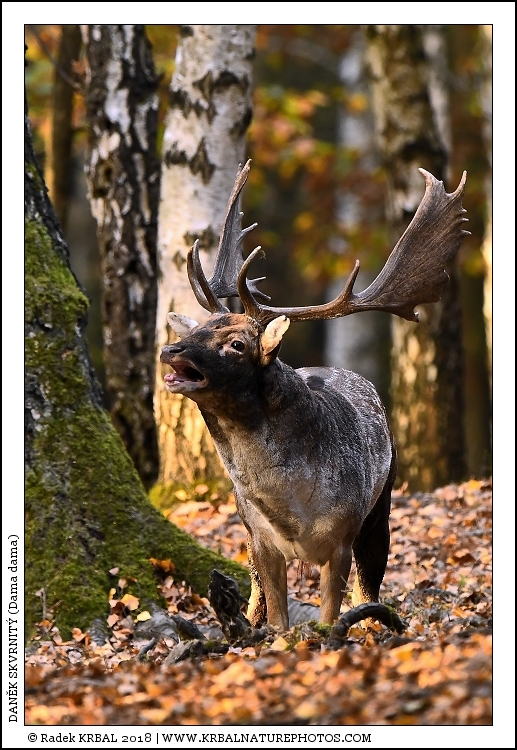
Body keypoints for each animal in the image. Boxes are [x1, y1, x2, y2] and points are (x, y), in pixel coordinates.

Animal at [160, 160, 469, 629]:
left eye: (237, 344)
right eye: (199, 329)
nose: (171, 349)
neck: (290, 509)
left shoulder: (341, 535)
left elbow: (329, 616)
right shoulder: (260, 538)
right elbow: (276, 620)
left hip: (380, 507)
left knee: (370, 586)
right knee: (254, 596)